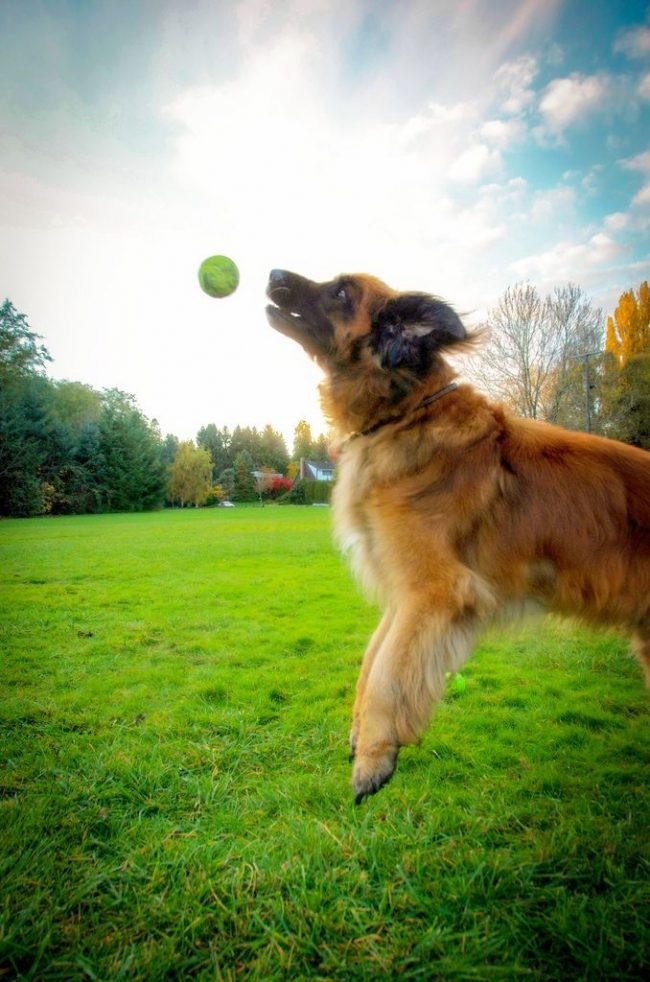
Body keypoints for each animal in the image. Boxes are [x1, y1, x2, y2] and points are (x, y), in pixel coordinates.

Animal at [264, 270, 648, 808]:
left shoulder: (437, 592)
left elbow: (387, 674)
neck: (405, 414)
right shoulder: (405, 594)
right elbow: (372, 661)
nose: (273, 275)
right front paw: (362, 736)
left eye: (341, 292)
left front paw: (374, 759)